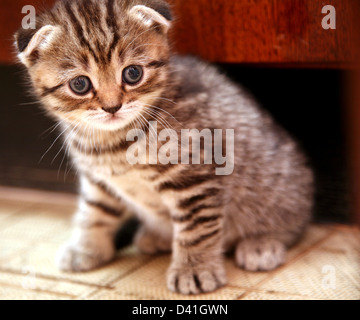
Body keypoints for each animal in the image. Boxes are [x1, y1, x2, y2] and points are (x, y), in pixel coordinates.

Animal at [14, 0, 312, 296]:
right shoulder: (98, 180)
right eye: (80, 84)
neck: (113, 144)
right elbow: (94, 211)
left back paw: (261, 244)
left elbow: (196, 228)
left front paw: (194, 270)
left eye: (133, 73)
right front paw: (85, 248)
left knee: (291, 222)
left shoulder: (195, 175)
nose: (112, 107)